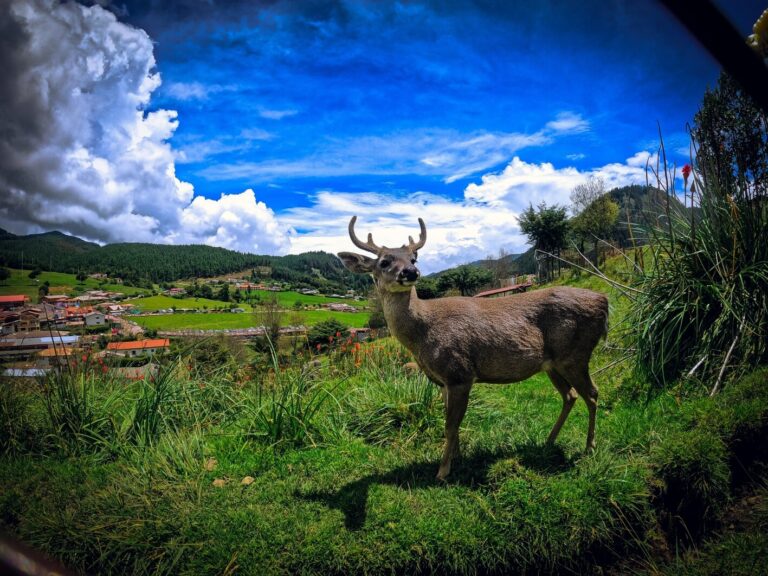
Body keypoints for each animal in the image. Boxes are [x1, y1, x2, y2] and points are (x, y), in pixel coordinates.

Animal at [340, 216, 608, 482]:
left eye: (414, 258)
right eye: (384, 262)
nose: (411, 272)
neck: (422, 334)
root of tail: (605, 302)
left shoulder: (459, 373)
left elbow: (450, 425)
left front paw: (442, 471)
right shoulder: (443, 381)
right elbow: (450, 422)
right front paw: (456, 457)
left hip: (575, 354)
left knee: (592, 393)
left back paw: (589, 447)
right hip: (552, 364)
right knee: (570, 395)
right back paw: (549, 441)